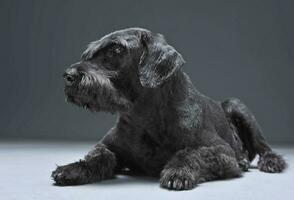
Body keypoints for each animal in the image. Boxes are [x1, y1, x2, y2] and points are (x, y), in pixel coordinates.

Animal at [51, 27, 286, 190]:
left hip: (236, 105)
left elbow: (191, 153)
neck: (142, 116)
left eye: (116, 49)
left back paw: (268, 161)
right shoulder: (107, 145)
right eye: (89, 53)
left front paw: (178, 172)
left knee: (263, 147)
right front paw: (72, 169)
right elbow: (99, 156)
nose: (68, 76)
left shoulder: (222, 151)